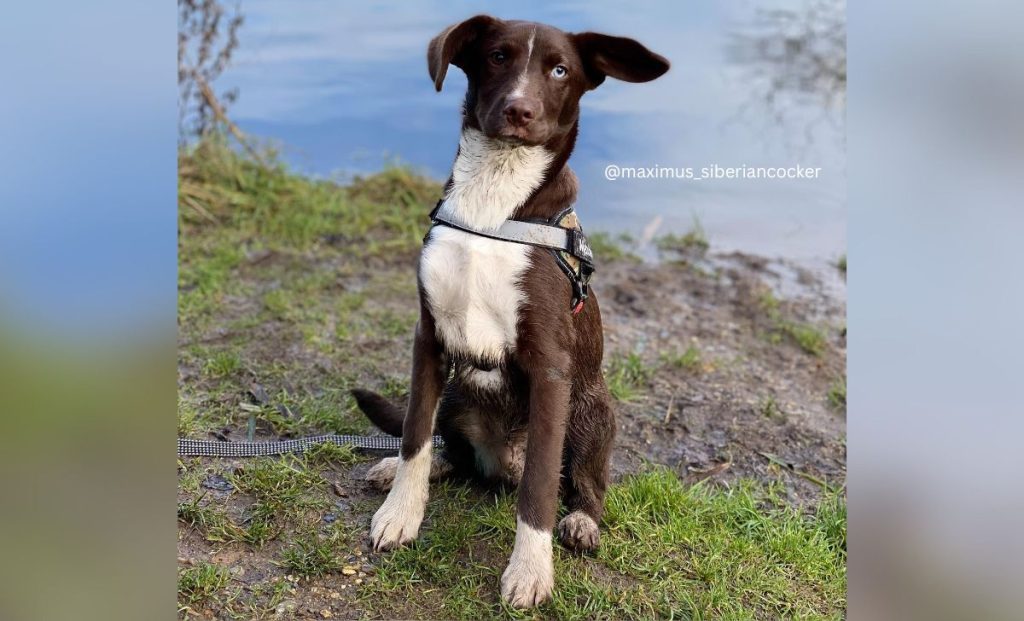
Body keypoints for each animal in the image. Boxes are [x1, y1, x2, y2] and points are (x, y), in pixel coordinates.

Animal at [352, 15, 671, 614]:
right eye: (498, 56)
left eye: (560, 70)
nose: (520, 110)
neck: (493, 201)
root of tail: (501, 460)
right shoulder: (429, 339)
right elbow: (413, 435)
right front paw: (401, 514)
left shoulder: (550, 368)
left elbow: (541, 486)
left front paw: (530, 570)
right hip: (460, 391)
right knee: (447, 446)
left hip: (593, 408)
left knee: (585, 483)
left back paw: (582, 522)